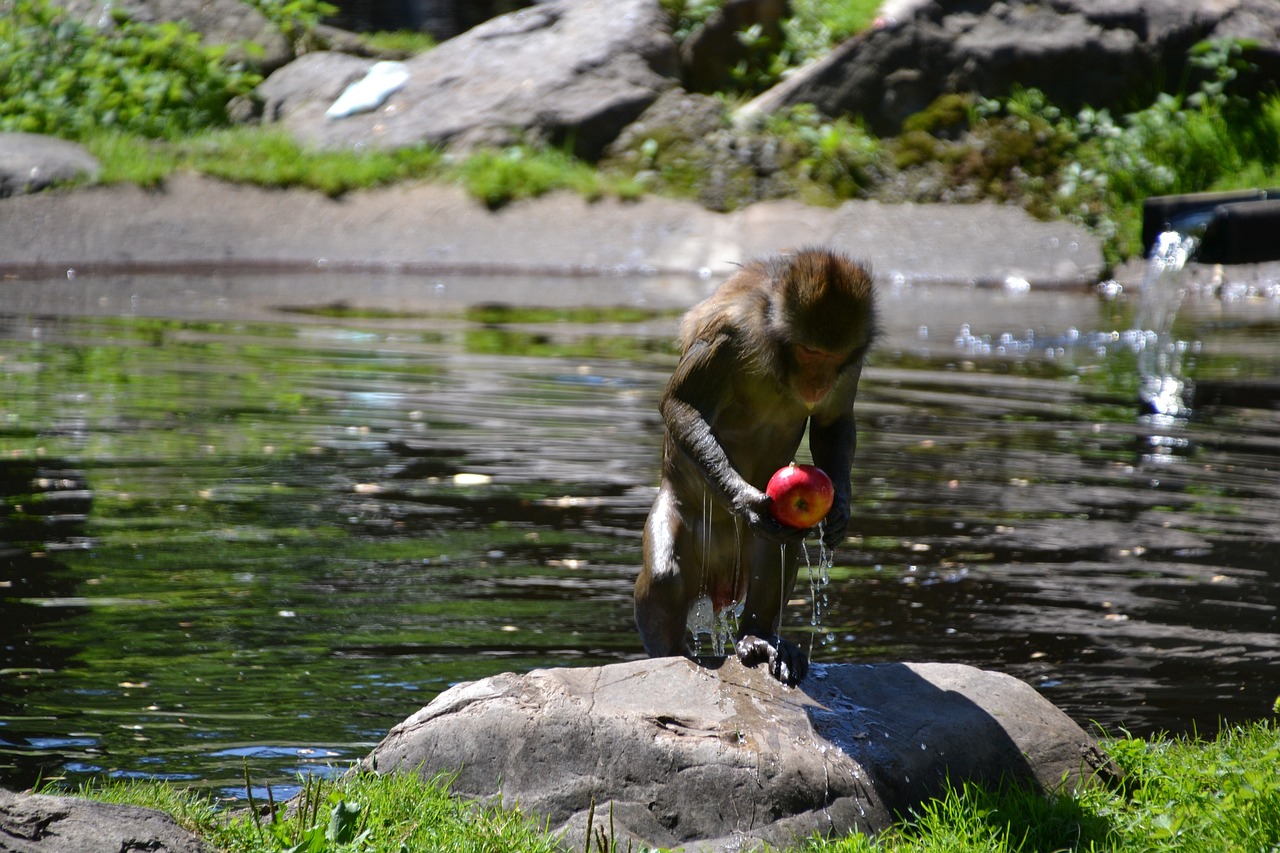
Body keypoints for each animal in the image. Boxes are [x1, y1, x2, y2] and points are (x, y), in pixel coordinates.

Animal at [634, 245, 875, 686]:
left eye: (832, 358)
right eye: (810, 352)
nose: (818, 381)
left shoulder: (851, 364)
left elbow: (833, 422)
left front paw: (841, 509)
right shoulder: (729, 335)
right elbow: (681, 405)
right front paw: (744, 500)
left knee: (779, 547)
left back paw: (758, 637)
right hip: (687, 527)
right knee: (665, 573)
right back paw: (673, 654)